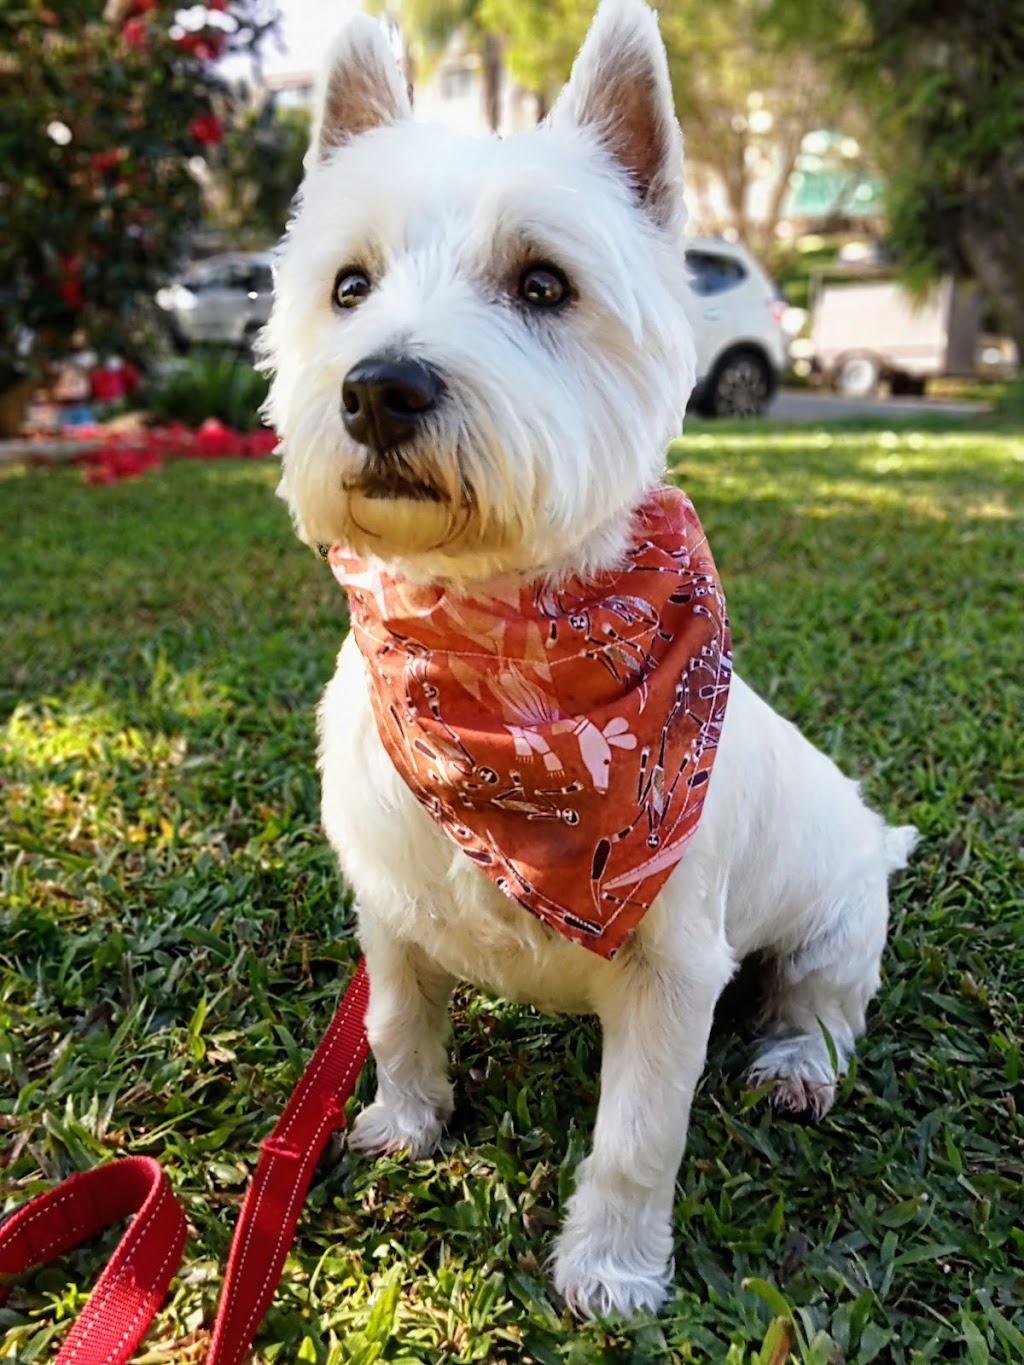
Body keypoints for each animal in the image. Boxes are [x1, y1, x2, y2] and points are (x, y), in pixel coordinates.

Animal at [260, 0, 917, 1321]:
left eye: (542, 283)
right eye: (348, 285)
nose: (380, 388)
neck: (501, 670)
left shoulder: (671, 969)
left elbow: (635, 1139)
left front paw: (609, 1270)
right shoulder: (387, 914)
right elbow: (400, 1024)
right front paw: (403, 1125)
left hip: (834, 920)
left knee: (822, 1005)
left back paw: (794, 1066)